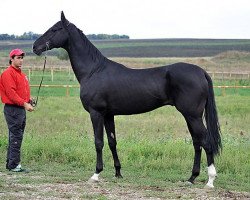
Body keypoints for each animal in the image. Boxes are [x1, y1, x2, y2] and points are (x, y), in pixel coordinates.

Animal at [32, 11, 221, 188]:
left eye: (55, 29)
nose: (35, 46)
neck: (94, 71)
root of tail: (201, 72)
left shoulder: (96, 113)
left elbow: (98, 142)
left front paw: (96, 174)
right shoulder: (108, 115)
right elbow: (112, 142)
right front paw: (118, 173)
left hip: (192, 116)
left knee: (206, 142)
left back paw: (210, 181)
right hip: (190, 116)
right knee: (197, 143)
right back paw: (191, 178)